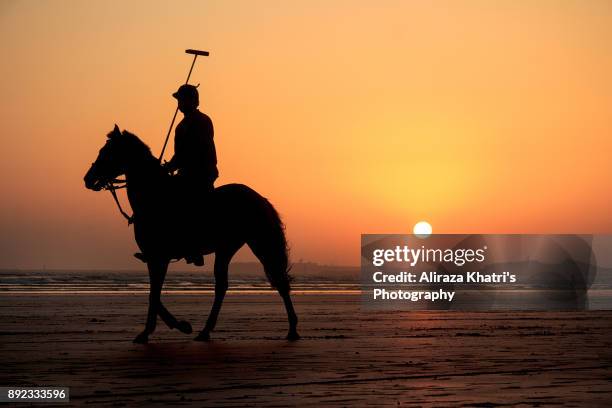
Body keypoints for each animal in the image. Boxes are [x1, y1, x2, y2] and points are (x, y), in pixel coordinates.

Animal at [83, 126, 298, 342]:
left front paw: (155, 331)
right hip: (229, 246)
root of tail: (260, 198)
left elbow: (154, 294)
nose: (88, 179)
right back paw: (206, 331)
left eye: (106, 152)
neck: (153, 196)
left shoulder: (158, 257)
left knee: (275, 280)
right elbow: (154, 293)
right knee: (226, 285)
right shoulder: (154, 258)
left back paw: (292, 330)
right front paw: (176, 325)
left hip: (256, 243)